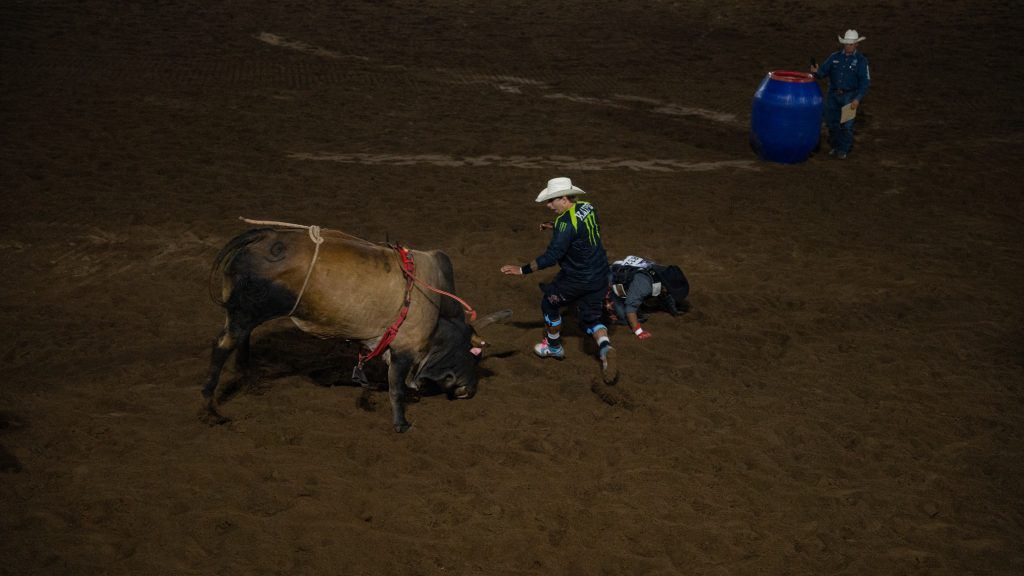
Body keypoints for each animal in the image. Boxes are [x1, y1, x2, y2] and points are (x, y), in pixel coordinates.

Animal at [203, 224, 509, 432]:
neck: (437, 314)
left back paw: (251, 381)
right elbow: (396, 387)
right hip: (245, 312)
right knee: (222, 347)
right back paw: (211, 410)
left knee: (242, 341)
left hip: (245, 313)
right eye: (473, 354)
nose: (469, 391)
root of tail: (263, 236)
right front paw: (402, 424)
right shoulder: (404, 350)